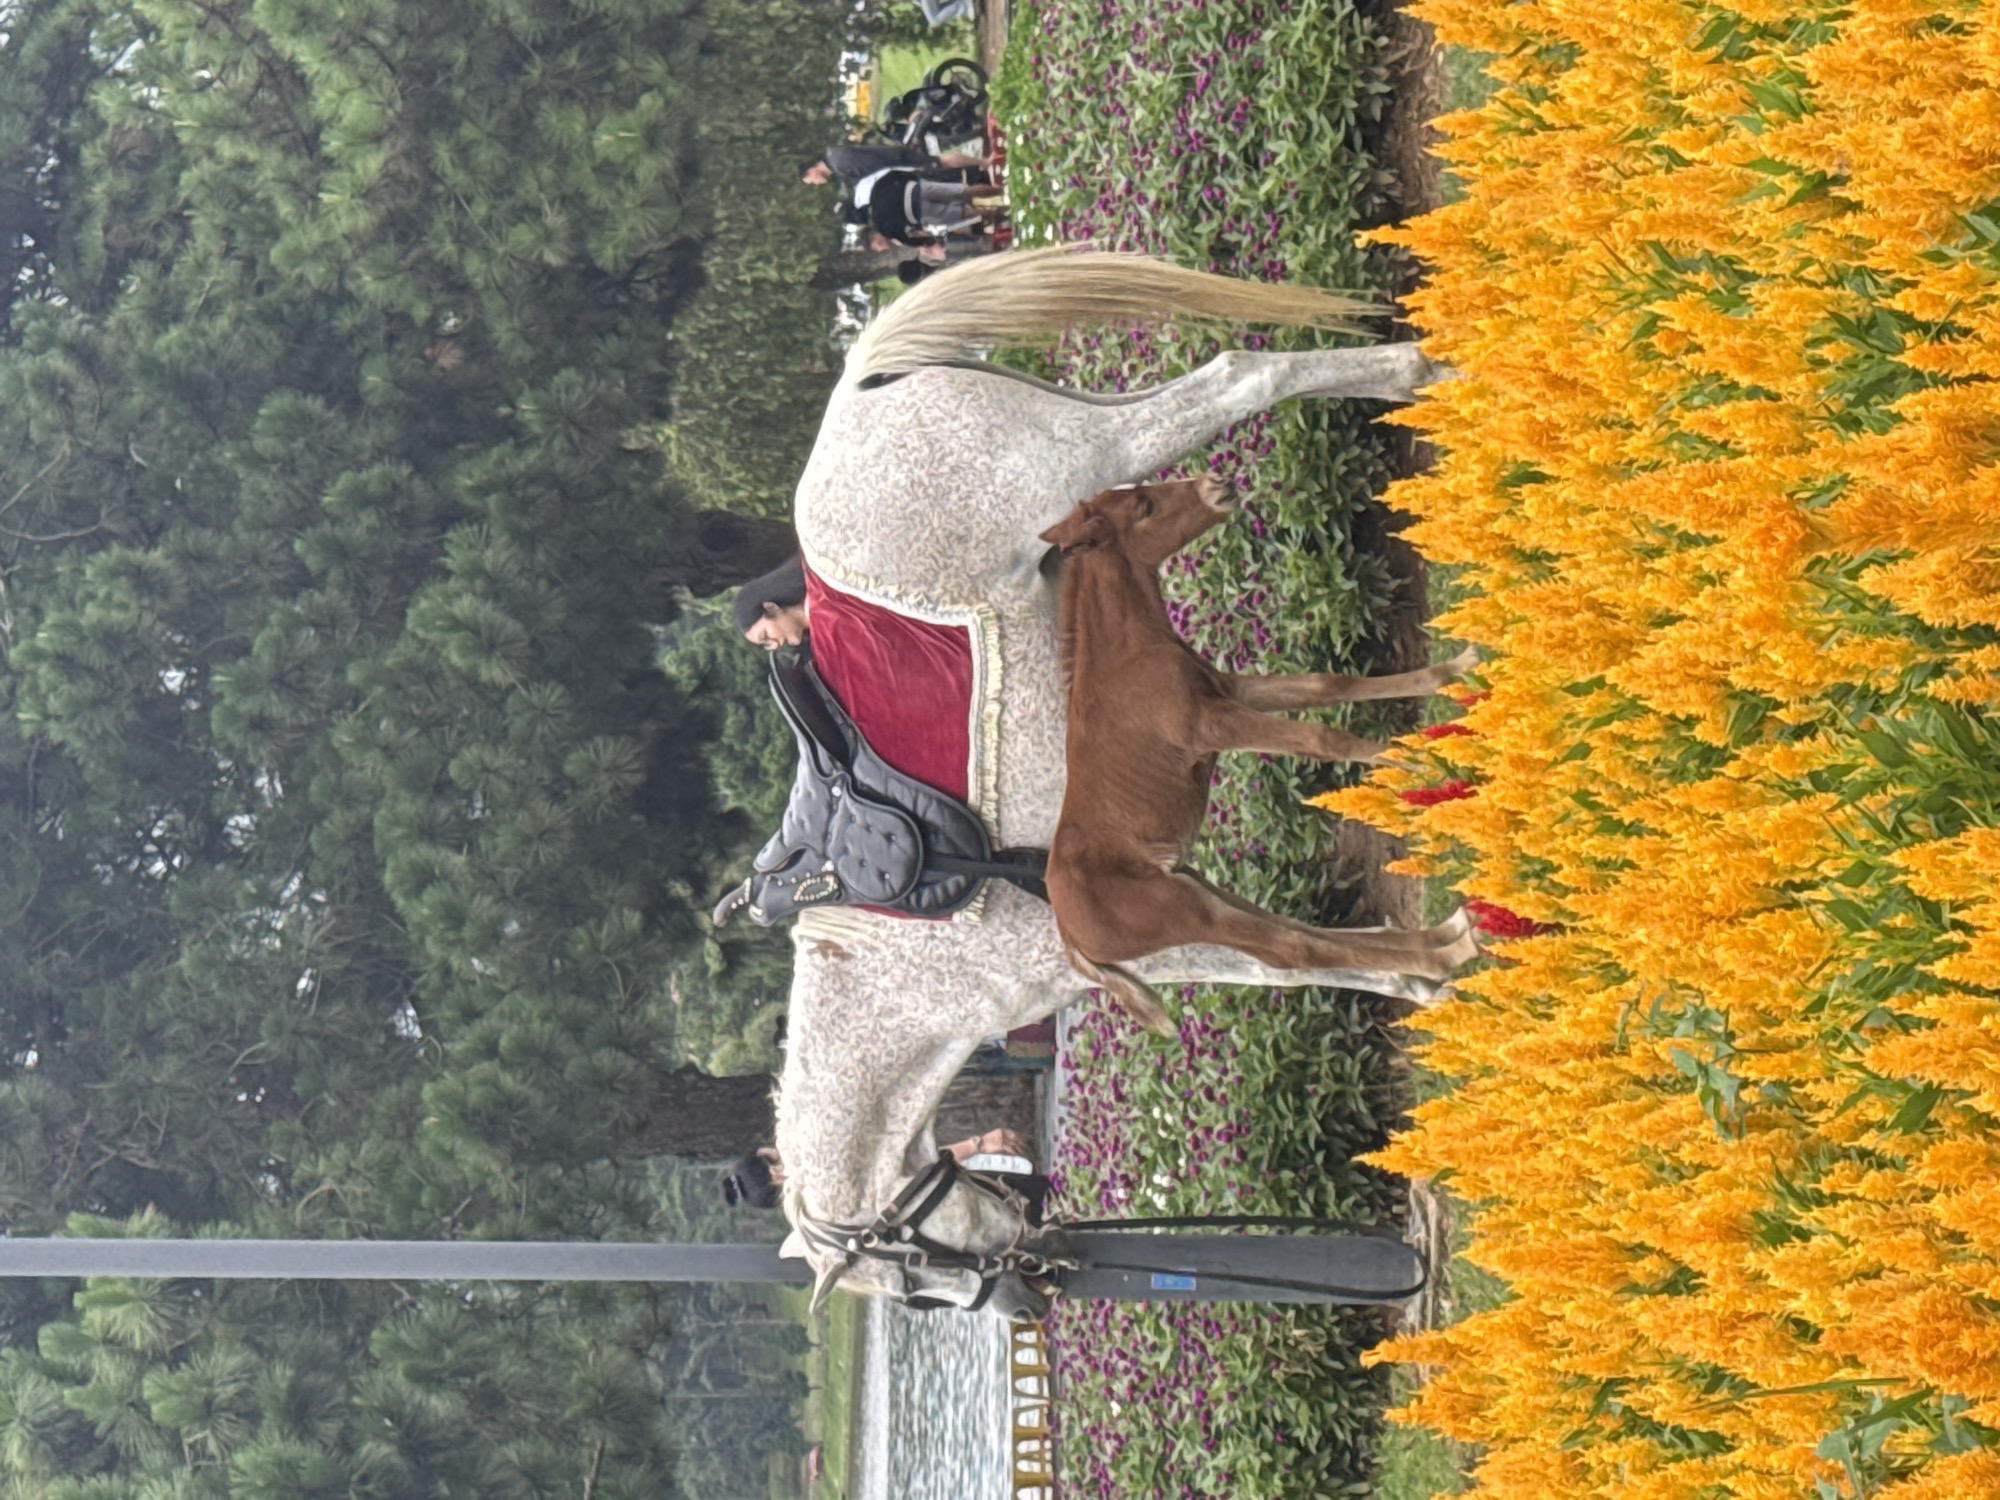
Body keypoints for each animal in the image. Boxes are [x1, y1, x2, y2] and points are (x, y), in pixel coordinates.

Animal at [770, 248, 1465, 1312]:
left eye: (914, 1285)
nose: (1030, 1288)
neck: (906, 964)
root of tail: (857, 391)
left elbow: (1272, 959)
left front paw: (1427, 970)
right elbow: (1277, 953)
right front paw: (1421, 974)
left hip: (1086, 453)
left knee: (1235, 377)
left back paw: (1418, 371)